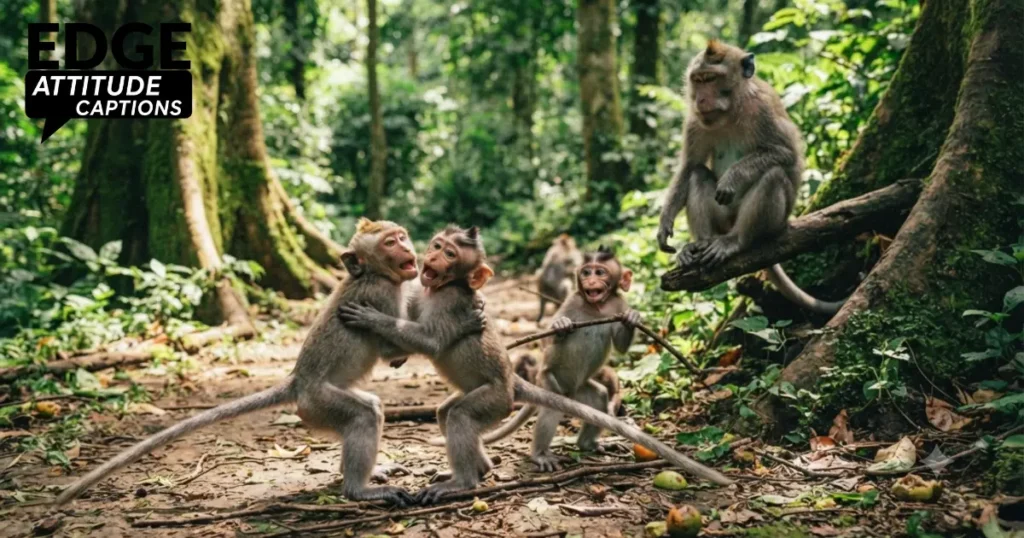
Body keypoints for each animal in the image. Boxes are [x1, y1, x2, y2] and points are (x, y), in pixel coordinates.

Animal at [53, 219, 485, 507]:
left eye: (401, 236)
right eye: (390, 241)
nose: (408, 248)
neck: (375, 274)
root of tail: (296, 382)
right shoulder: (380, 293)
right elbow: (390, 351)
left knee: (371, 409)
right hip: (317, 403)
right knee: (362, 415)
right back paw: (360, 489)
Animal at [477, 247, 637, 471]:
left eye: (600, 272)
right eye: (586, 272)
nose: (590, 281)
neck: (597, 307)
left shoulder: (618, 304)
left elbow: (621, 345)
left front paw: (632, 318)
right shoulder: (572, 300)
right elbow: (549, 339)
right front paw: (561, 325)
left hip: (578, 391)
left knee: (599, 398)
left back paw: (587, 444)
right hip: (550, 381)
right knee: (552, 409)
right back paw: (540, 455)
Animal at [656, 40, 844, 315]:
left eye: (711, 78)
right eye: (698, 80)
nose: (700, 99)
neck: (731, 110)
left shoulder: (762, 109)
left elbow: (788, 154)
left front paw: (732, 177)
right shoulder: (694, 121)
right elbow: (690, 166)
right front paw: (665, 223)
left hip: (775, 222)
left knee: (773, 175)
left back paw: (736, 241)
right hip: (722, 220)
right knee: (698, 174)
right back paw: (700, 244)